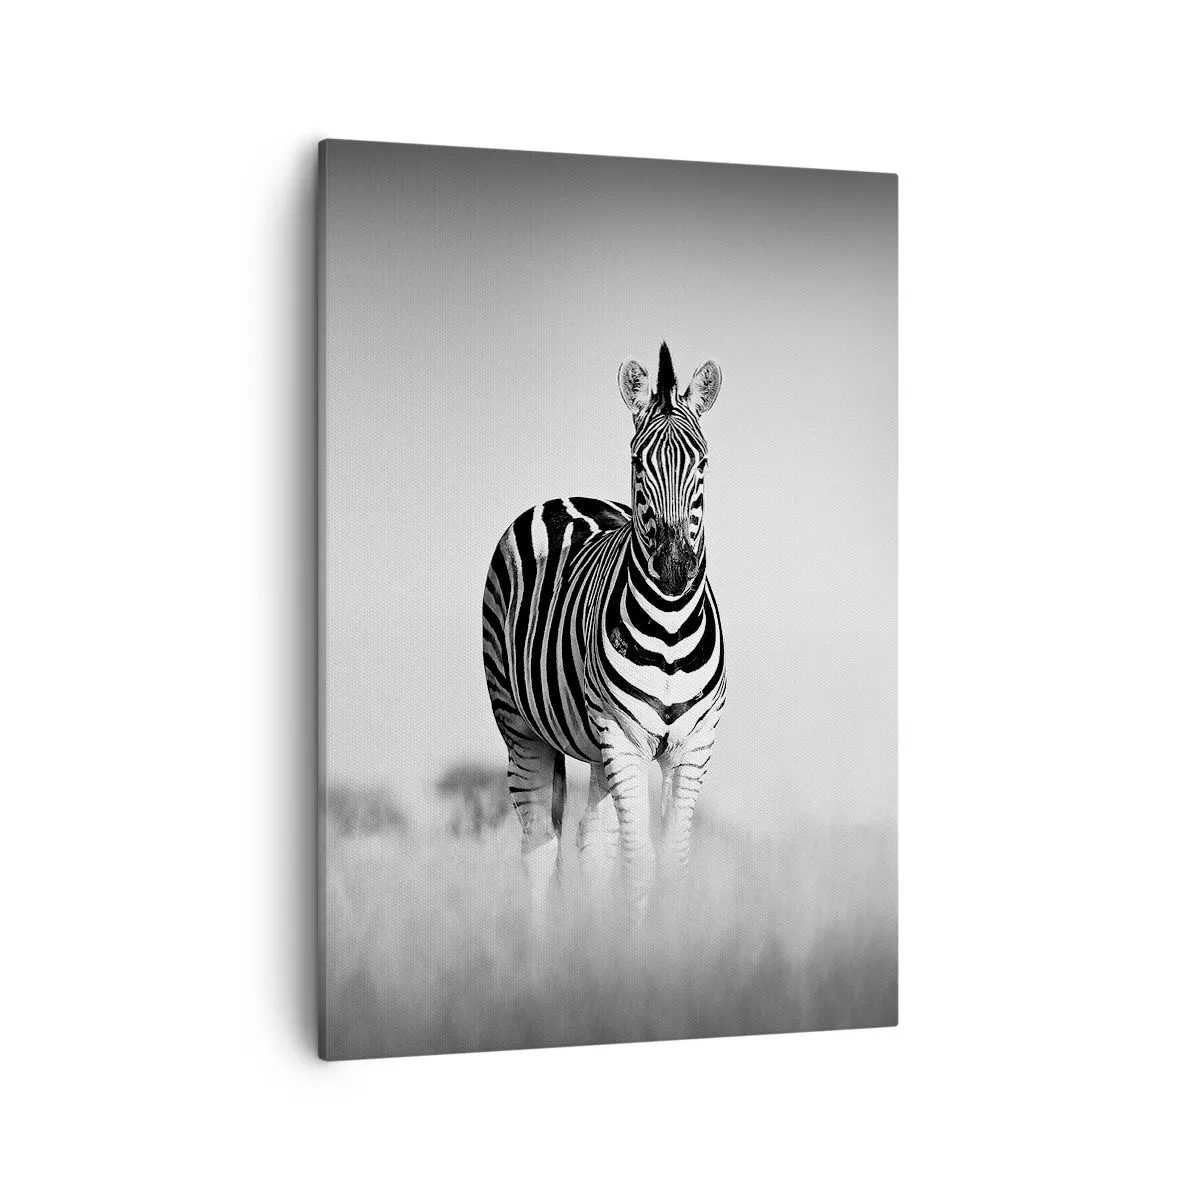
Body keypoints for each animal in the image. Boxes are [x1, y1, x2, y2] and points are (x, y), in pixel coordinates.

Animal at [482, 343, 726, 922]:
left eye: (703, 463)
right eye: (638, 463)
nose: (676, 568)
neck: (670, 630)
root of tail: (565, 498)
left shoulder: (695, 744)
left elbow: (672, 863)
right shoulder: (623, 736)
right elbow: (639, 863)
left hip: (595, 750)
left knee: (592, 845)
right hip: (519, 725)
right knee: (538, 847)